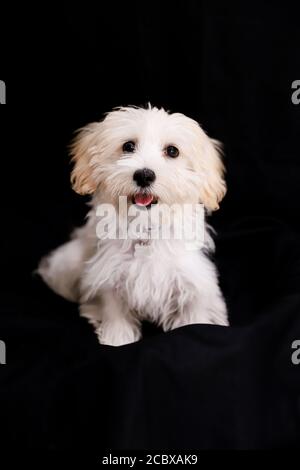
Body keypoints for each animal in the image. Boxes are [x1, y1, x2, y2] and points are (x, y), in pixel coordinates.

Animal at [38, 105, 229, 346]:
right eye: (128, 146)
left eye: (172, 151)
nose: (144, 175)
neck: (145, 229)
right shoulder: (109, 276)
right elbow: (114, 311)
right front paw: (116, 338)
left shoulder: (193, 281)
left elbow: (195, 315)